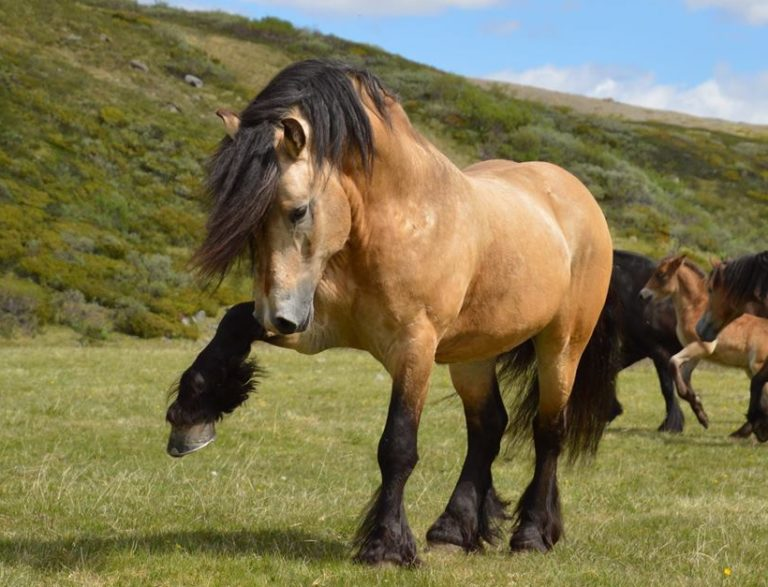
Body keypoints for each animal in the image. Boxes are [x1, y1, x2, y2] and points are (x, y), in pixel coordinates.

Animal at [164, 59, 620, 566]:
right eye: (249, 226)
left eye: (298, 211)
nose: (277, 315)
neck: (401, 221)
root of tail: (576, 195)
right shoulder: (315, 329)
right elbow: (232, 323)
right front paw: (192, 415)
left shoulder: (414, 348)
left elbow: (397, 445)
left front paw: (385, 544)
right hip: (473, 355)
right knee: (487, 428)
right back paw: (454, 529)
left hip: (562, 345)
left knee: (548, 431)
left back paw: (534, 534)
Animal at [640, 254, 768, 438]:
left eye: (661, 274)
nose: (642, 295)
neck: (695, 307)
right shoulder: (697, 353)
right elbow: (683, 374)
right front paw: (700, 412)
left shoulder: (703, 346)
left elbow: (673, 362)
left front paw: (700, 411)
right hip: (750, 369)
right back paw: (742, 432)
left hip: (756, 366)